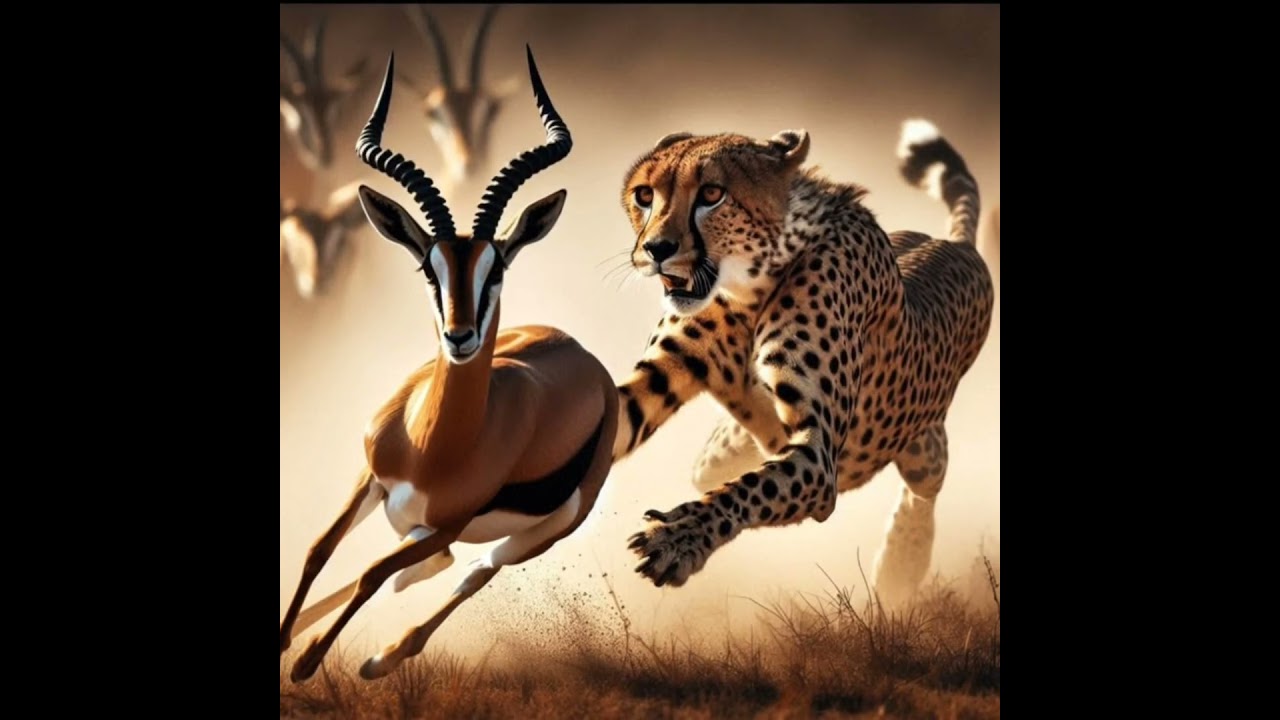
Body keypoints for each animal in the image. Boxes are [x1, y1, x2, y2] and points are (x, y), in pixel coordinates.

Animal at [280, 46, 619, 684]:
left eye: (498, 268)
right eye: (427, 268)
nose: (460, 337)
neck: (433, 446)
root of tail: (589, 359)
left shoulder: (448, 523)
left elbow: (373, 573)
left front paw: (307, 663)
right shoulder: (370, 479)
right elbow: (319, 548)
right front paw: (286, 639)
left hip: (547, 528)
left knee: (471, 571)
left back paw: (379, 660)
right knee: (431, 567)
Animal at [610, 119, 994, 605]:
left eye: (712, 194)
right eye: (644, 195)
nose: (656, 249)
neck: (746, 288)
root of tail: (953, 242)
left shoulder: (819, 455)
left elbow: (749, 488)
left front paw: (678, 538)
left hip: (922, 449)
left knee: (925, 489)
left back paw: (901, 563)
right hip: (722, 451)